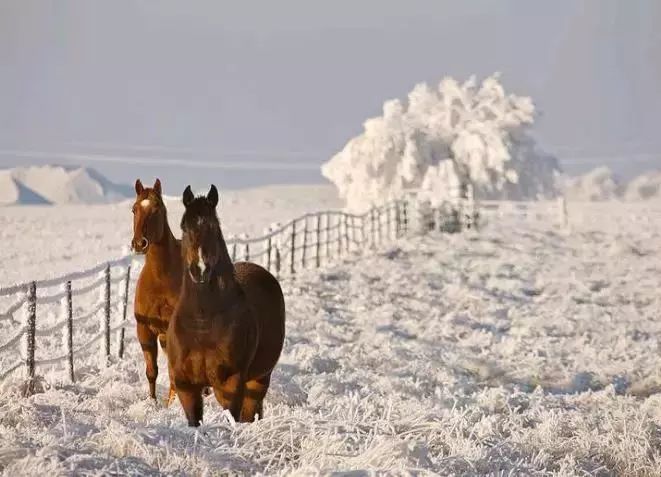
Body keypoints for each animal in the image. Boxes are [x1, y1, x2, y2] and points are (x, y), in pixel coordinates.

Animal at [168, 185, 284, 424]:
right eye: (184, 227)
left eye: (214, 226)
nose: (200, 270)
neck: (202, 323)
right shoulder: (187, 387)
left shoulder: (230, 384)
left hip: (259, 379)